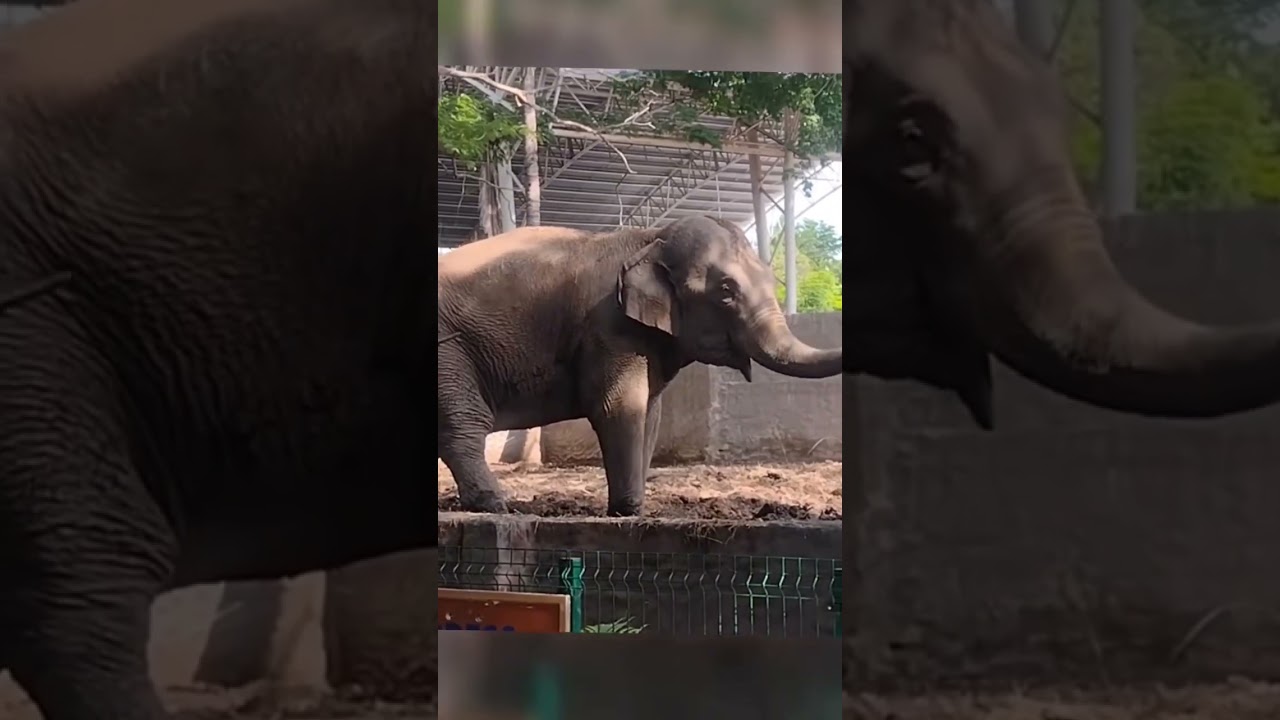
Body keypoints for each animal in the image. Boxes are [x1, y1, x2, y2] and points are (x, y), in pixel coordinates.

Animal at [437, 216, 842, 516]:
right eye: (726, 292)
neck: (650, 238)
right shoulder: (610, 325)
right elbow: (618, 407)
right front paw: (627, 511)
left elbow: (651, 411)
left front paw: (635, 508)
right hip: (449, 350)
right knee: (464, 426)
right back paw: (495, 505)